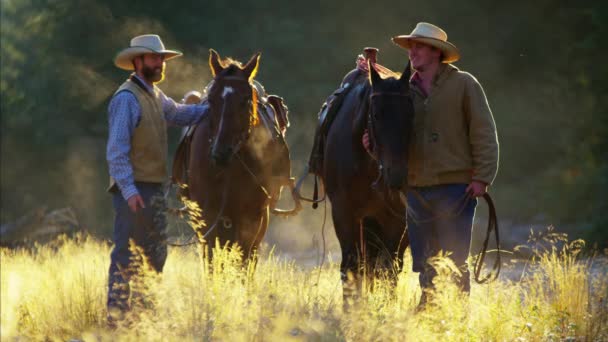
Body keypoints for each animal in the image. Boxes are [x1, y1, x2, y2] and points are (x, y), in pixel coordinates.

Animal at [188, 49, 296, 260]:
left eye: (245, 99)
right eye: (211, 99)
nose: (221, 152)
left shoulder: (251, 217)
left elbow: (243, 257)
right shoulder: (207, 216)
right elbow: (211, 258)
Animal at [320, 60, 416, 300]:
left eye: (411, 114)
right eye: (376, 114)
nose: (396, 174)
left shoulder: (395, 219)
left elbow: (388, 269)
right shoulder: (344, 212)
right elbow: (351, 266)